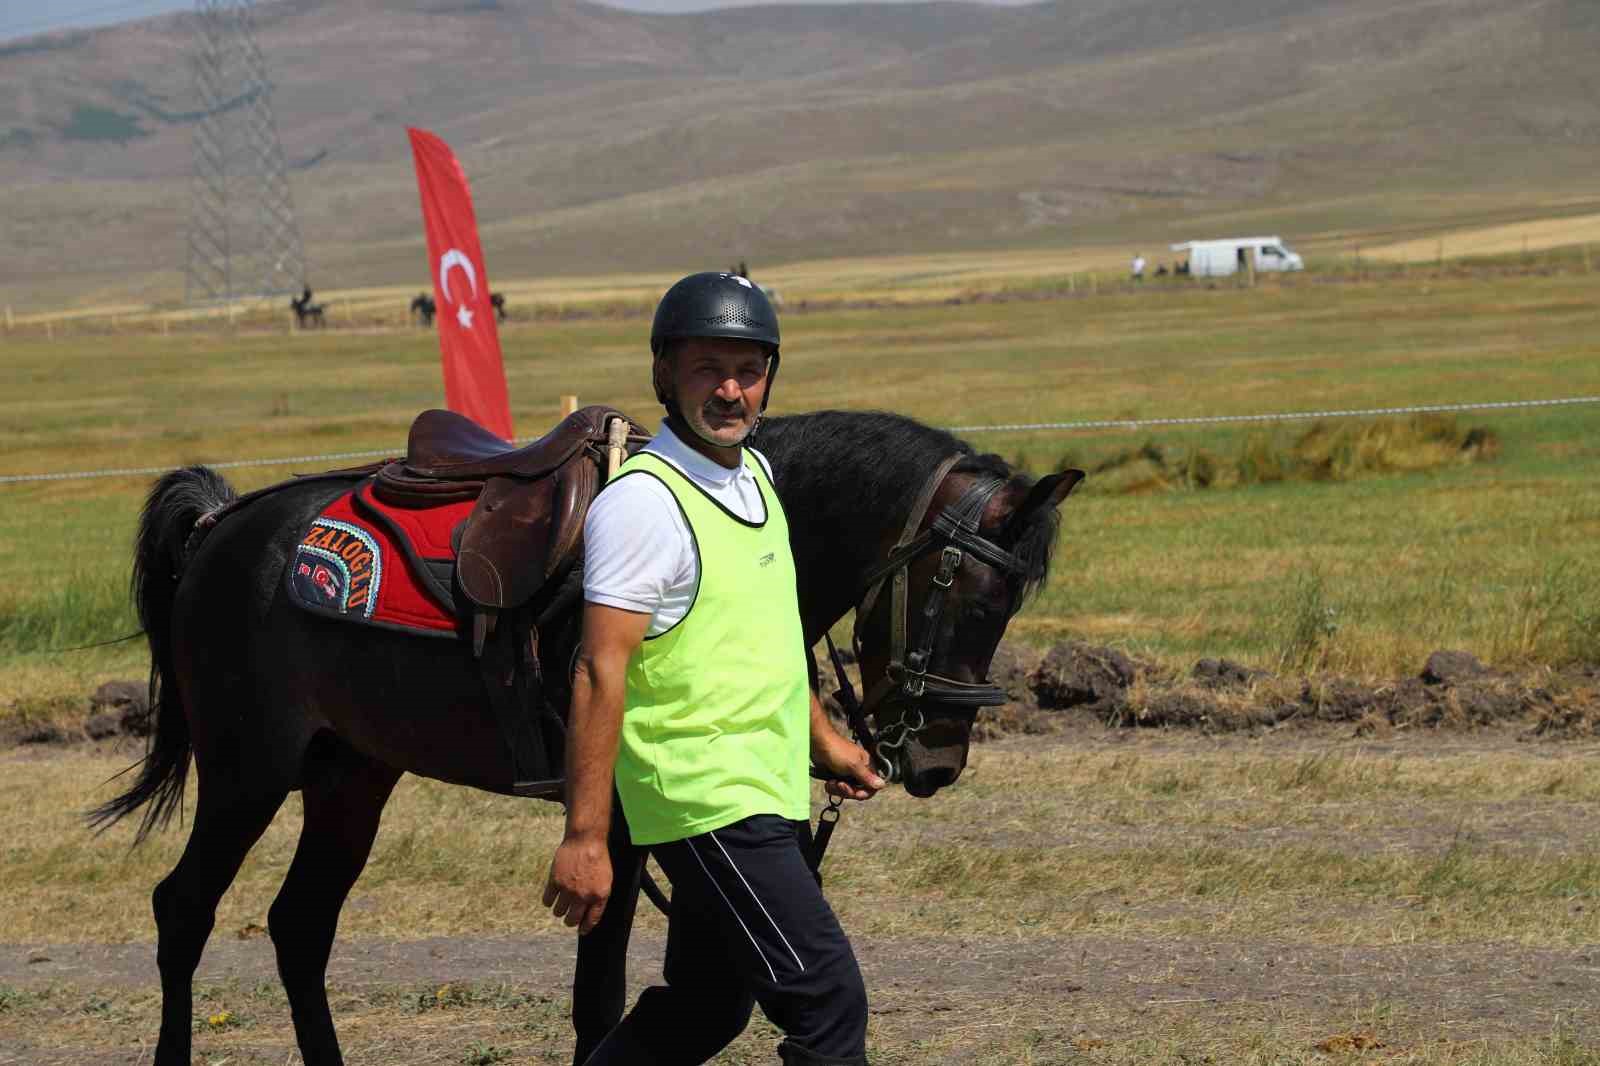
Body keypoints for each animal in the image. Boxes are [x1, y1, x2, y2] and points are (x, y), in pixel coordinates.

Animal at [93, 406, 1081, 1062]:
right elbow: (597, 1003)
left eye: (1010, 604)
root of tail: (221, 525)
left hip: (351, 775)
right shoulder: (613, 827)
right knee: (183, 910)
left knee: (299, 926)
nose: (938, 760)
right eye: (968, 594)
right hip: (245, 772)